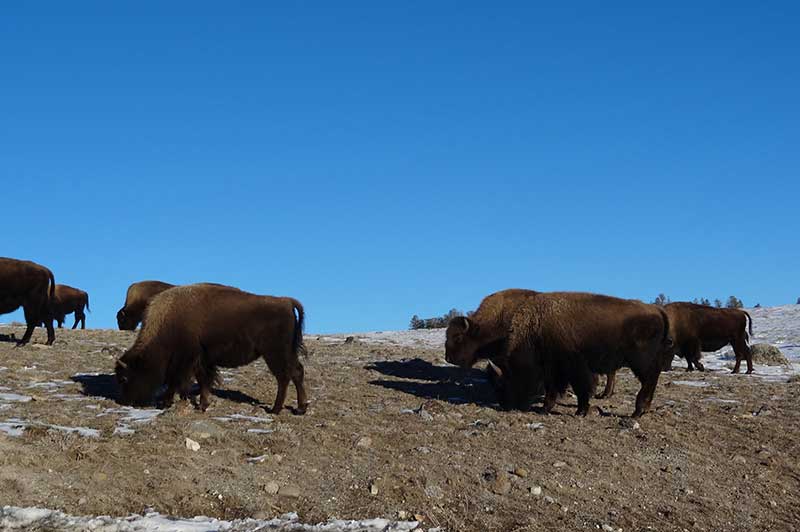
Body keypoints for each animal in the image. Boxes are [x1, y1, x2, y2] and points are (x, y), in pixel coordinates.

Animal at [446, 290, 672, 416]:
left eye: (506, 380)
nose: (506, 405)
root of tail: (657, 310)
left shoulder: (574, 367)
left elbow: (581, 388)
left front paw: (581, 411)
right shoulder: (553, 370)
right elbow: (552, 388)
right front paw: (546, 408)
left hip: (640, 362)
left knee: (648, 381)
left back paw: (637, 411)